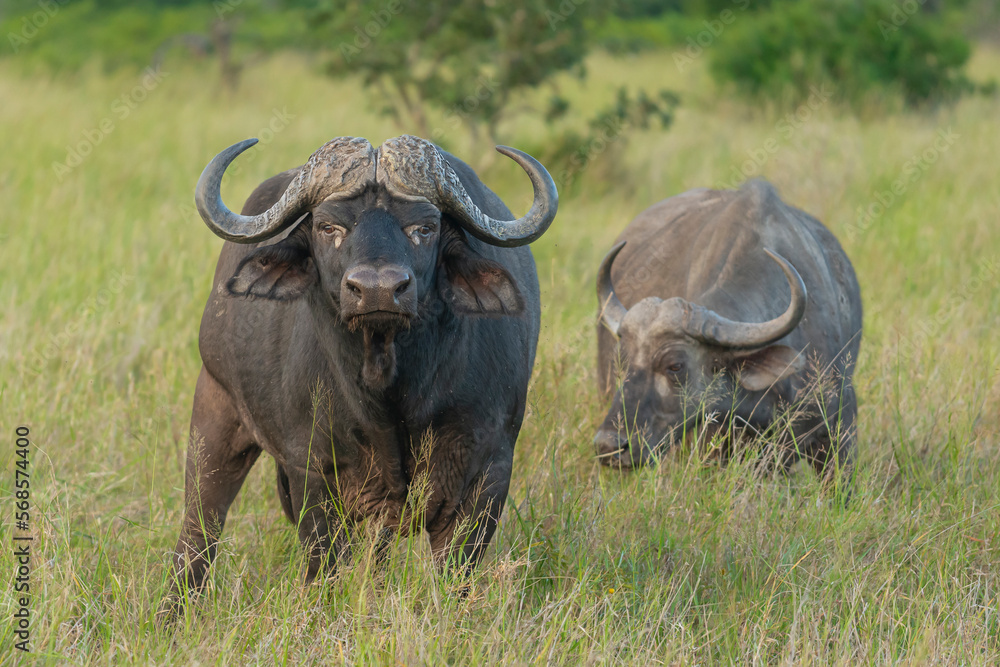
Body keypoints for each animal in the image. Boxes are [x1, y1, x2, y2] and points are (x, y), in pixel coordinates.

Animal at [165, 135, 558, 606]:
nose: (377, 290)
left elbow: (455, 575)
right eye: (328, 227)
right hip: (214, 412)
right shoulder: (312, 473)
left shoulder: (489, 472)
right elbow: (325, 566)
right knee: (198, 531)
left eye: (424, 228)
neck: (387, 392)